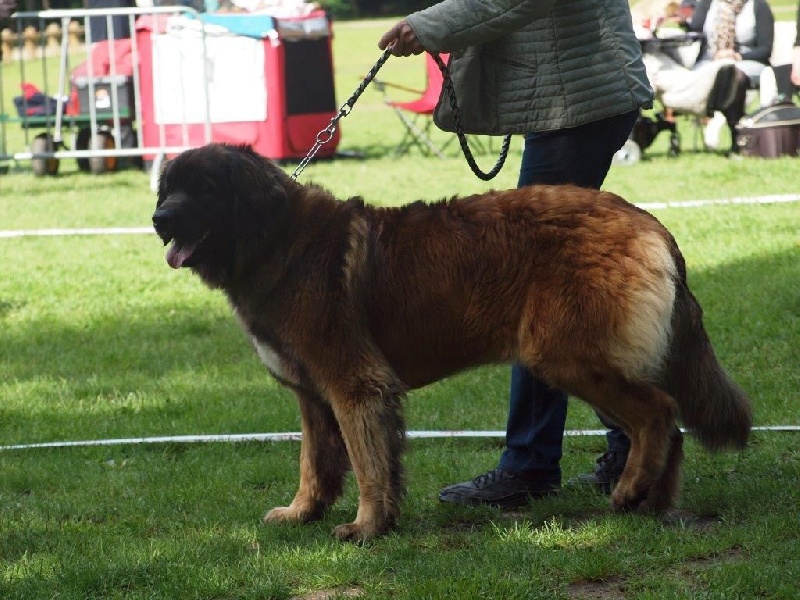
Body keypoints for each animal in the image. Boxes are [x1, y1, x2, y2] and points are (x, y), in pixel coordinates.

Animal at [153, 143, 752, 540]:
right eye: (167, 188)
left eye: (202, 189)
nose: (159, 218)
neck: (273, 238)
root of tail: (646, 221)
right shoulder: (313, 395)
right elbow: (316, 463)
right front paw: (303, 513)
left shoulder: (354, 384)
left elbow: (367, 462)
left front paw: (366, 527)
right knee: (670, 423)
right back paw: (655, 504)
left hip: (566, 355)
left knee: (658, 411)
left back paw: (631, 491)